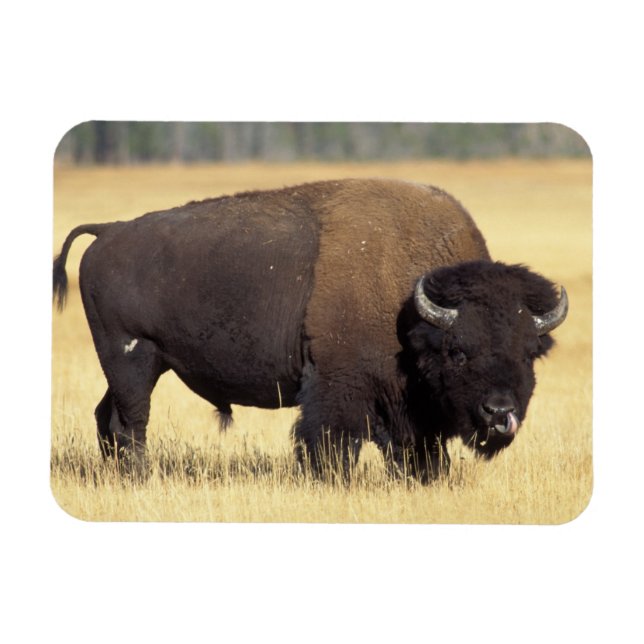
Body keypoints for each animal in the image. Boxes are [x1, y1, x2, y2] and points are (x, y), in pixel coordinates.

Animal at [53, 178, 568, 481]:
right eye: (458, 351)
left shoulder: (406, 406)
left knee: (107, 416)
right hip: (131, 358)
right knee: (131, 422)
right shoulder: (339, 385)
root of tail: (109, 231)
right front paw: (328, 479)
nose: (500, 413)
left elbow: (414, 448)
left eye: (529, 353)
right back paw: (140, 475)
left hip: (139, 364)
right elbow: (331, 441)